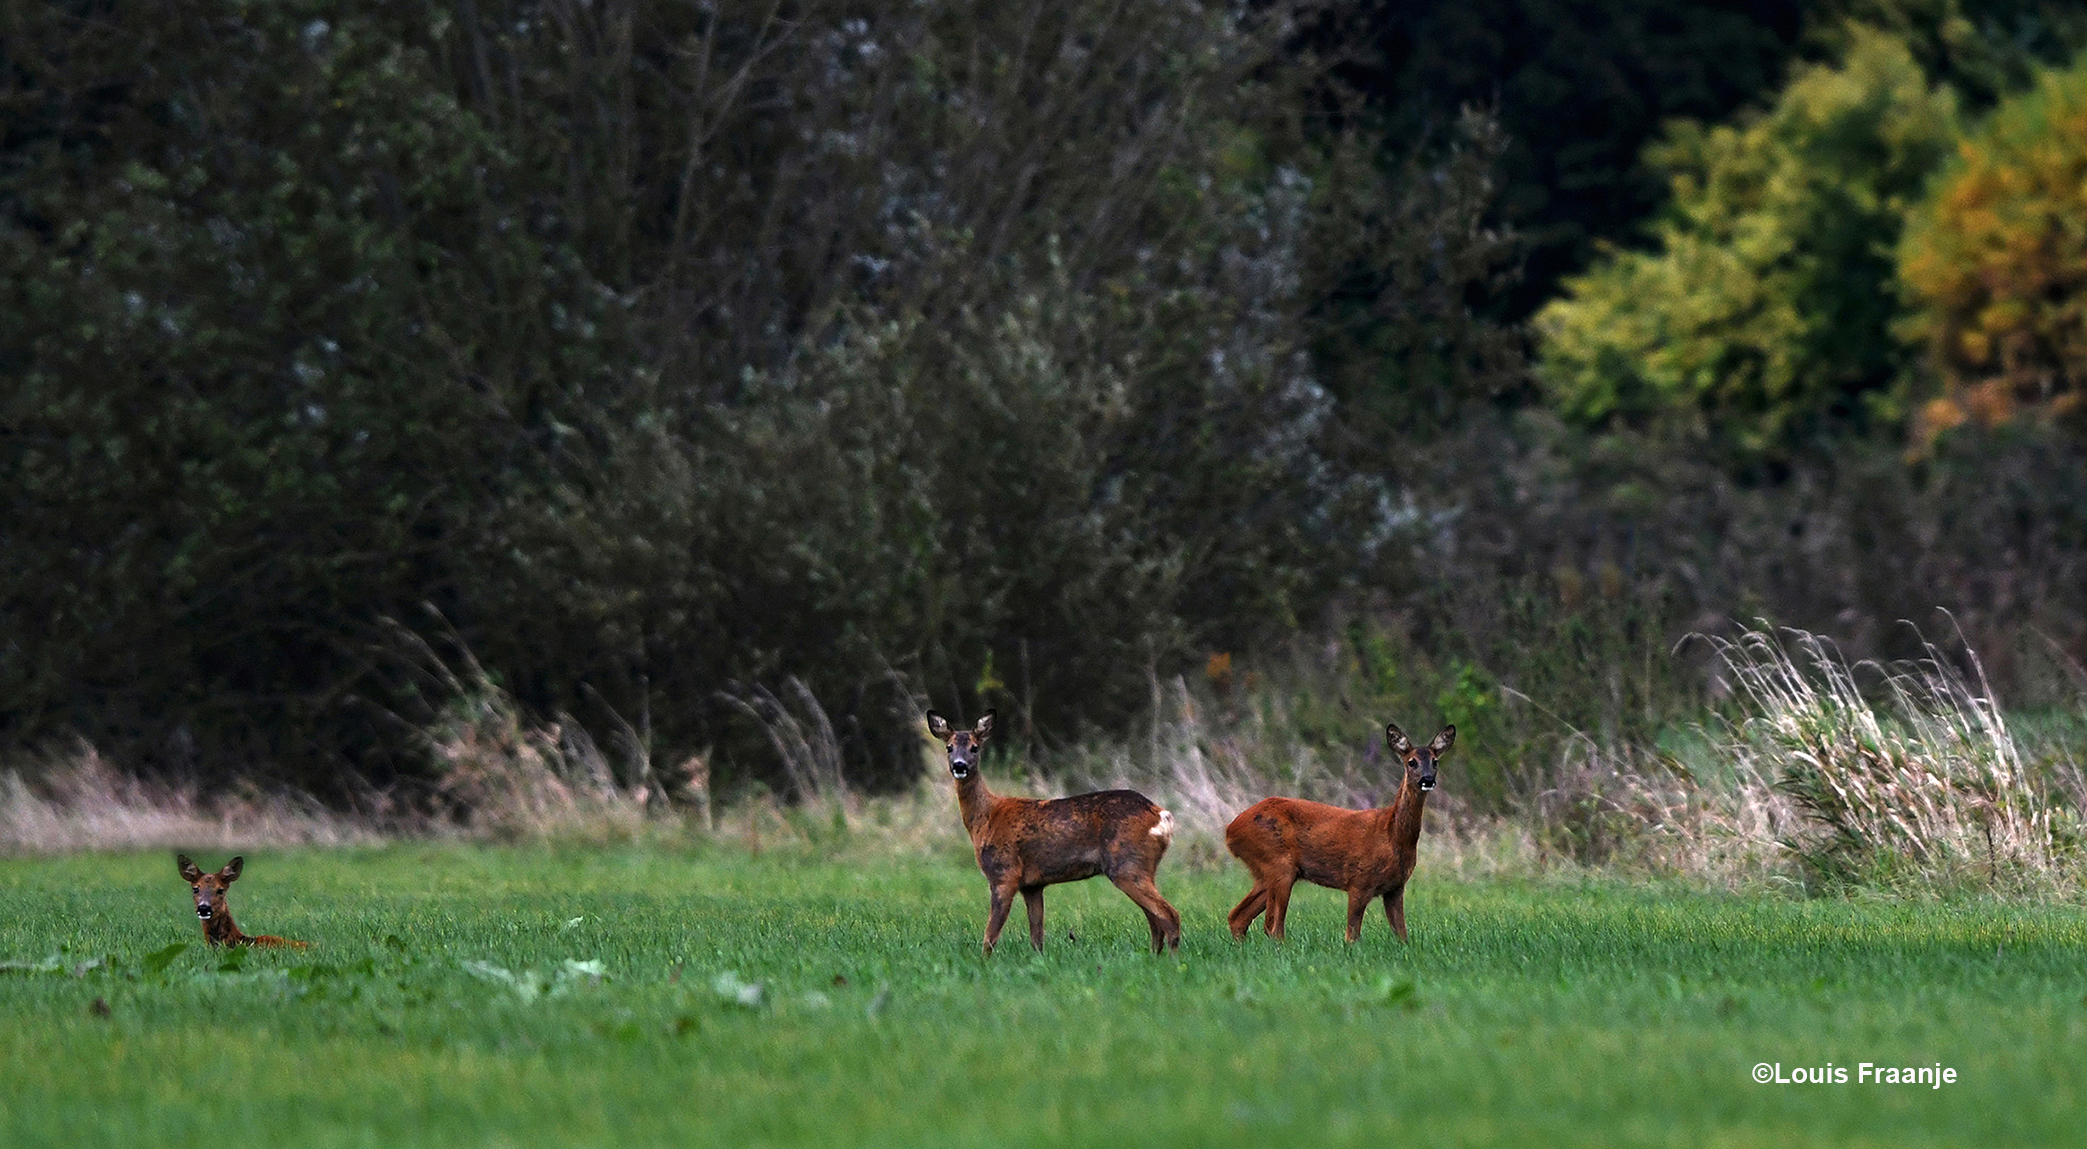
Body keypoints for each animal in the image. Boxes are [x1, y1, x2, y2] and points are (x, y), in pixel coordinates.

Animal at [926, 713, 1185, 959]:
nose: (959, 766)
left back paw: (1171, 961)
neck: (986, 817)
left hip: (1127, 864)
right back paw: (1154, 958)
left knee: (1169, 915)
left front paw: (983, 964)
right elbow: (1037, 937)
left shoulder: (1004, 873)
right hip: (1142, 868)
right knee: (1155, 920)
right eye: (949, 747)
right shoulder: (1032, 885)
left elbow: (990, 935)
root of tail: (1161, 815)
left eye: (975, 747)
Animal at [1218, 725, 1452, 946]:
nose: (1427, 779)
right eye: (1412, 762)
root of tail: (1231, 830)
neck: (1392, 836)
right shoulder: (1359, 881)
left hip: (1268, 871)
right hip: (1278, 863)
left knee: (1238, 917)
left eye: (1435, 762)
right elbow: (1352, 936)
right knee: (1272, 927)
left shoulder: (1395, 887)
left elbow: (1403, 935)